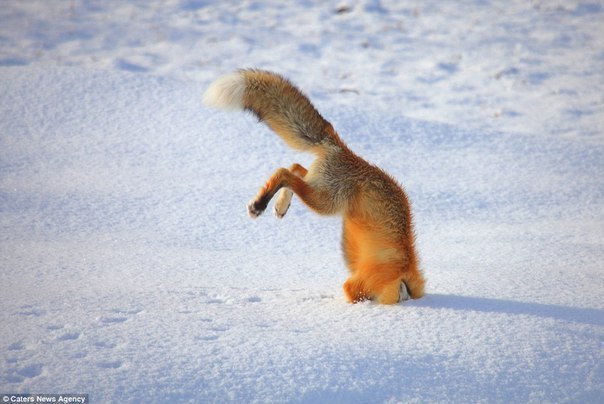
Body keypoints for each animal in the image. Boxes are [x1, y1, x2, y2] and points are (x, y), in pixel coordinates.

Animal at [203, 68, 424, 304]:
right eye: (402, 297)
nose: (404, 299)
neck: (402, 270)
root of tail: (344, 151)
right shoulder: (357, 284)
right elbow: (353, 294)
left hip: (318, 189)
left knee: (295, 168)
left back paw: (280, 205)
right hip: (324, 203)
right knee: (284, 171)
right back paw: (259, 205)